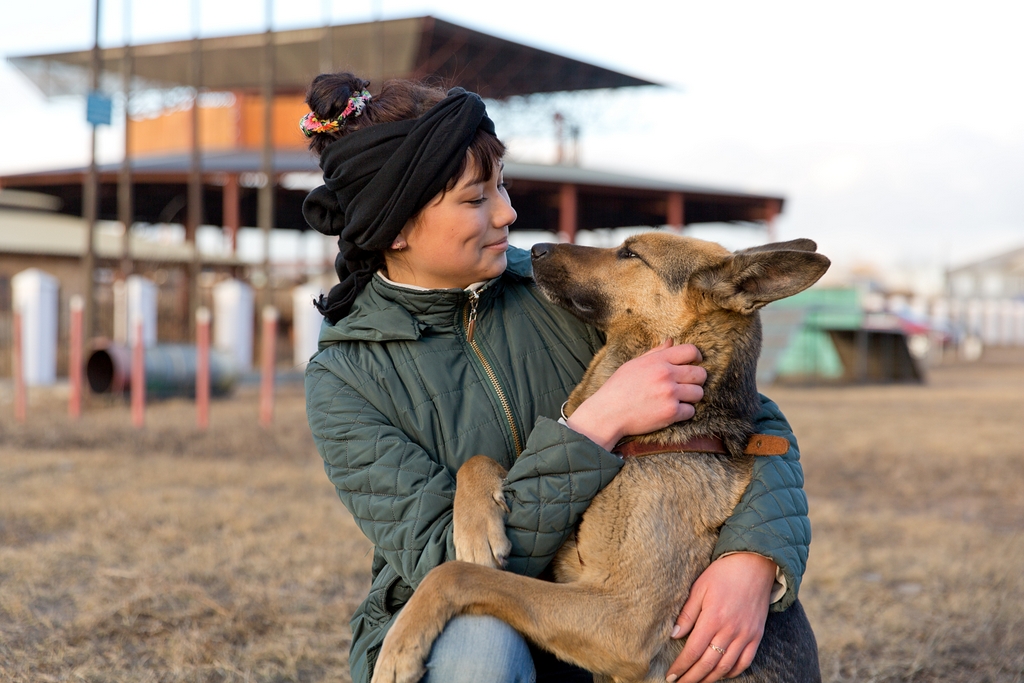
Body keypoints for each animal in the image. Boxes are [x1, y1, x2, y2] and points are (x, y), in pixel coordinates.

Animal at [372, 233, 827, 683]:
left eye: (630, 253)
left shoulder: (621, 621)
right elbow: (485, 461)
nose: (534, 247)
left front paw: (399, 647)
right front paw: (477, 527)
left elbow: (455, 573)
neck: (660, 436)